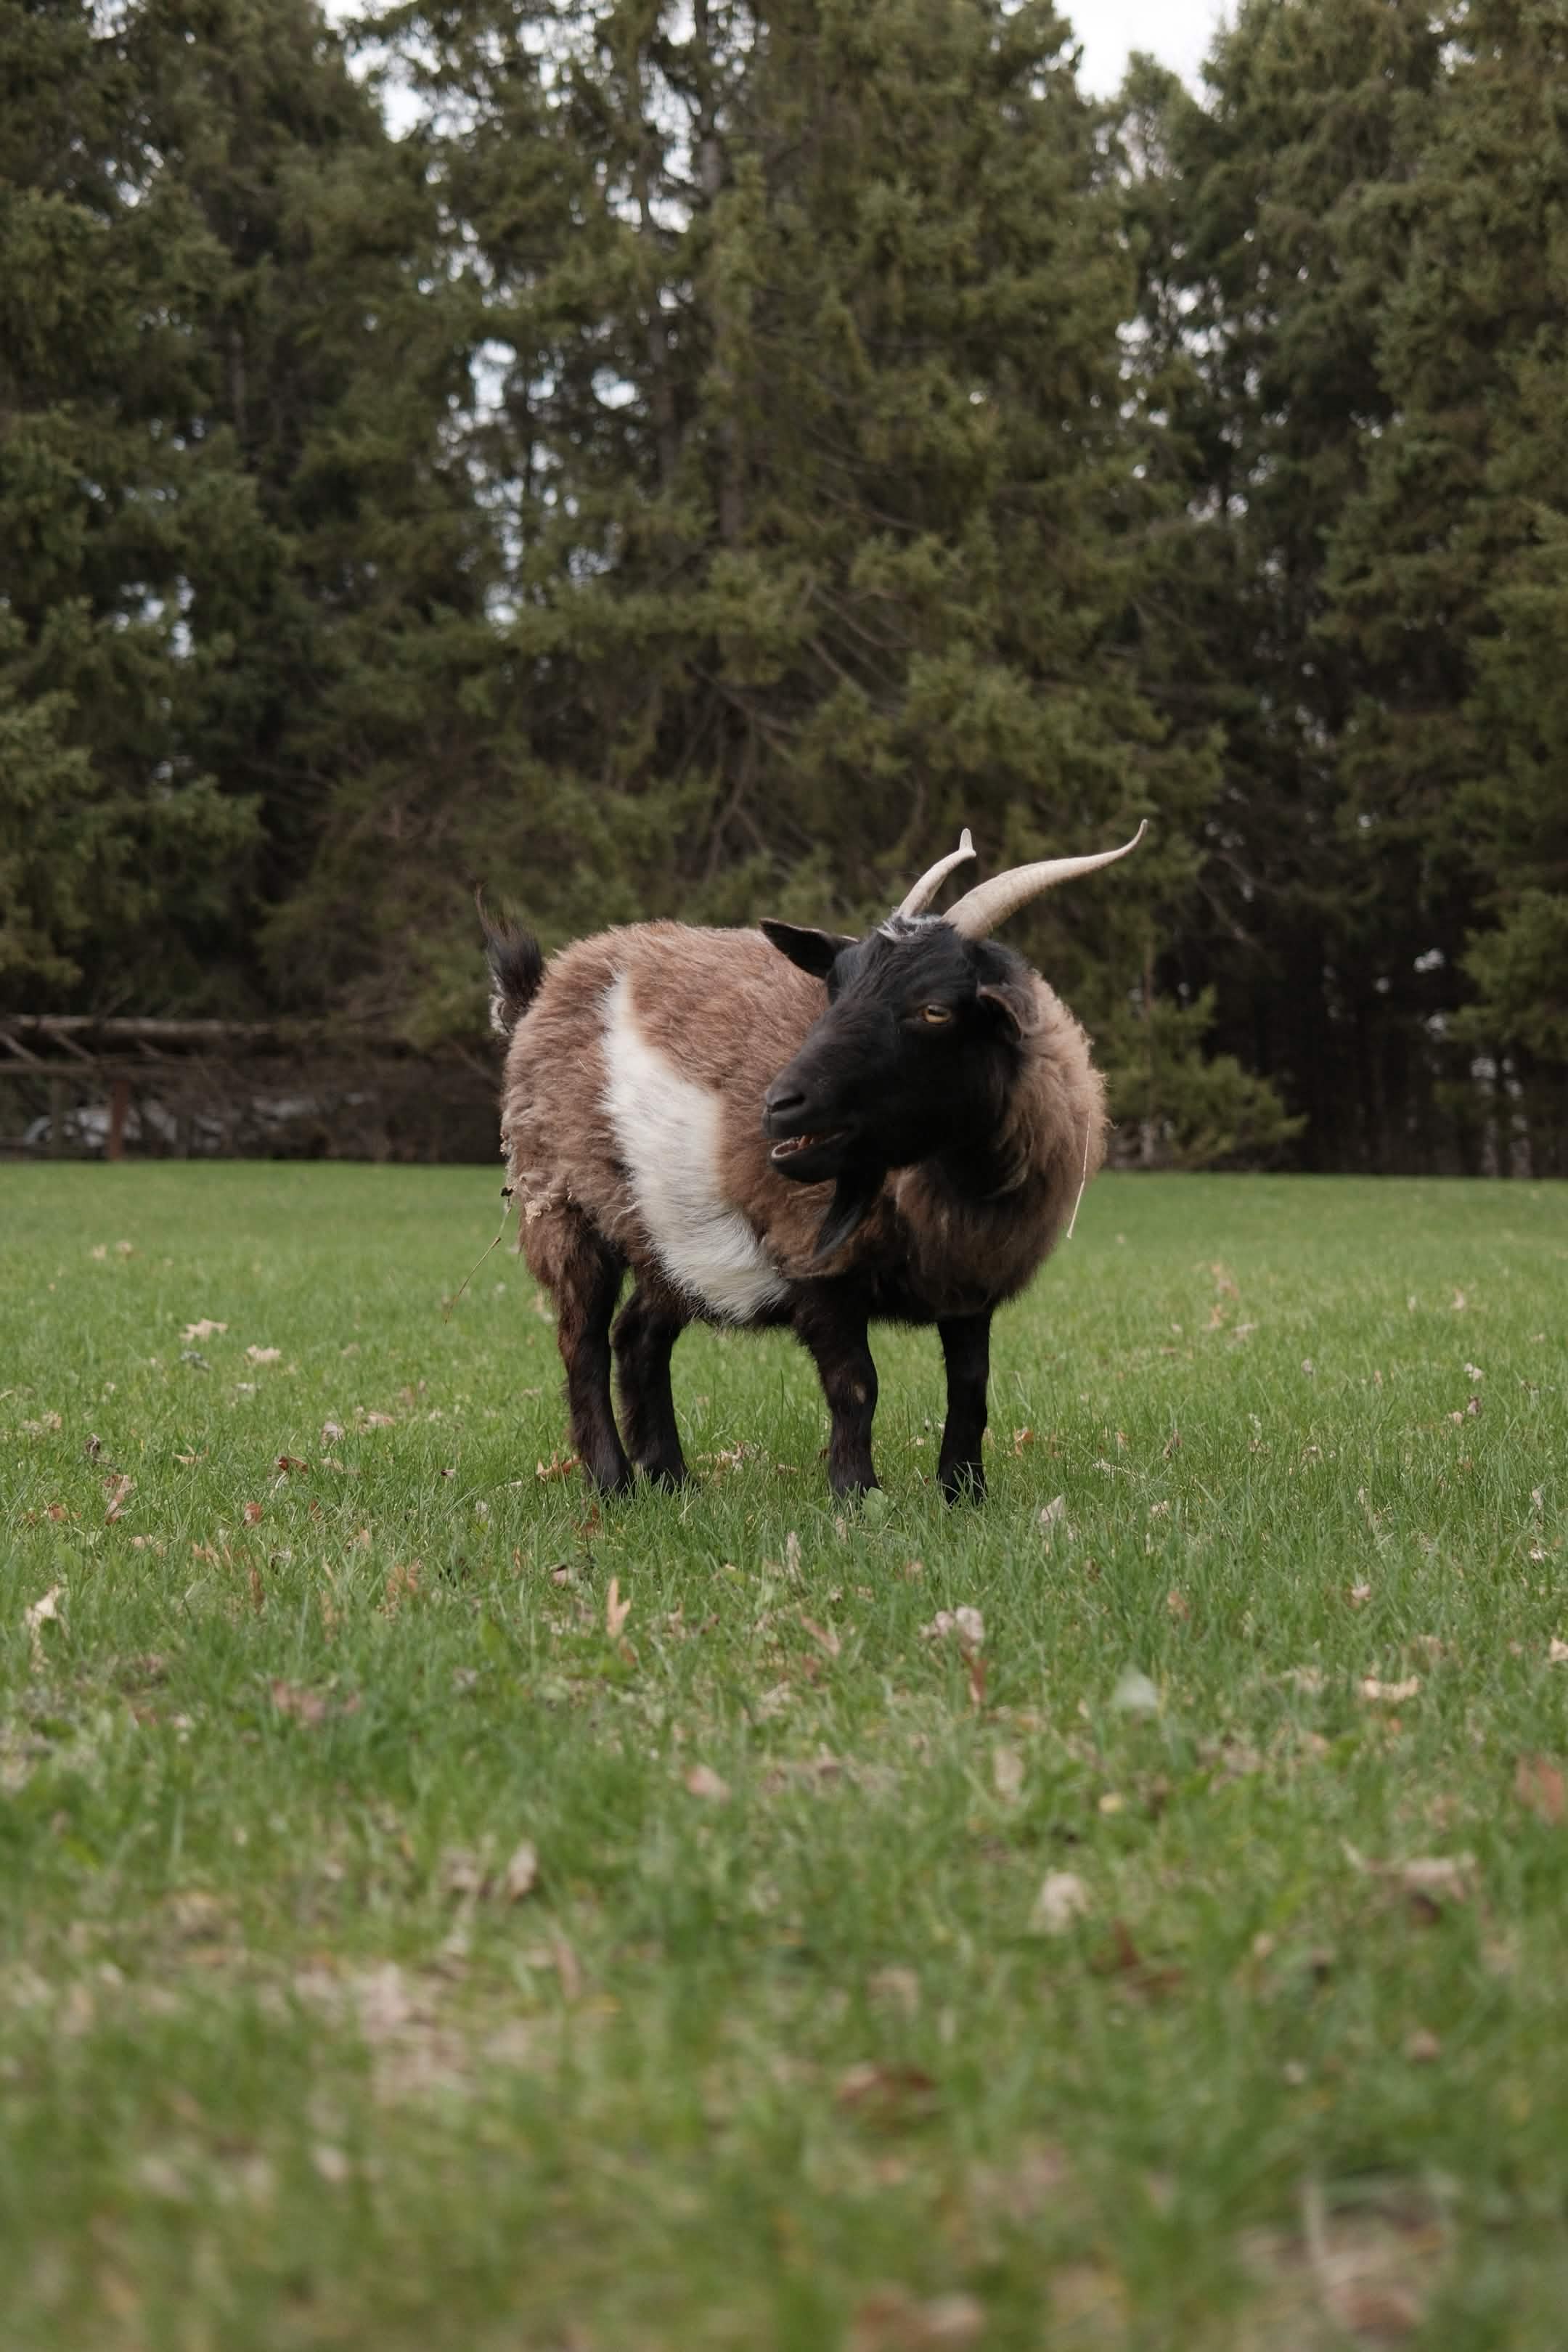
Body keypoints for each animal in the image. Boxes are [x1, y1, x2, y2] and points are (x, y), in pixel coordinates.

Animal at [483, 824, 1145, 1500]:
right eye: (836, 987)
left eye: (936, 1009)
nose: (780, 1104)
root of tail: (541, 991)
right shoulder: (816, 1263)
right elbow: (856, 1386)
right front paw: (857, 1495)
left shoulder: (970, 1276)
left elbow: (970, 1386)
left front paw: (964, 1494)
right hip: (564, 1205)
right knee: (582, 1344)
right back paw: (612, 1483)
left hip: (665, 1237)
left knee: (638, 1337)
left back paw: (672, 1481)